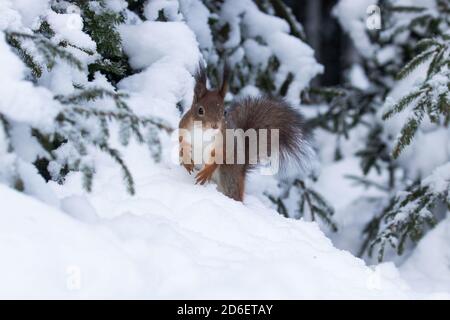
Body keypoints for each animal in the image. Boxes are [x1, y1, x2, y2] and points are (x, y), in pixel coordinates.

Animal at [178, 63, 312, 201]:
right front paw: (186, 160)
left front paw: (207, 172)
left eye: (224, 112)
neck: (203, 132)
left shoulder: (225, 141)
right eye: (200, 110)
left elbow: (221, 155)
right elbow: (182, 143)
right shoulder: (184, 128)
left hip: (228, 175)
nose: (215, 125)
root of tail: (241, 170)